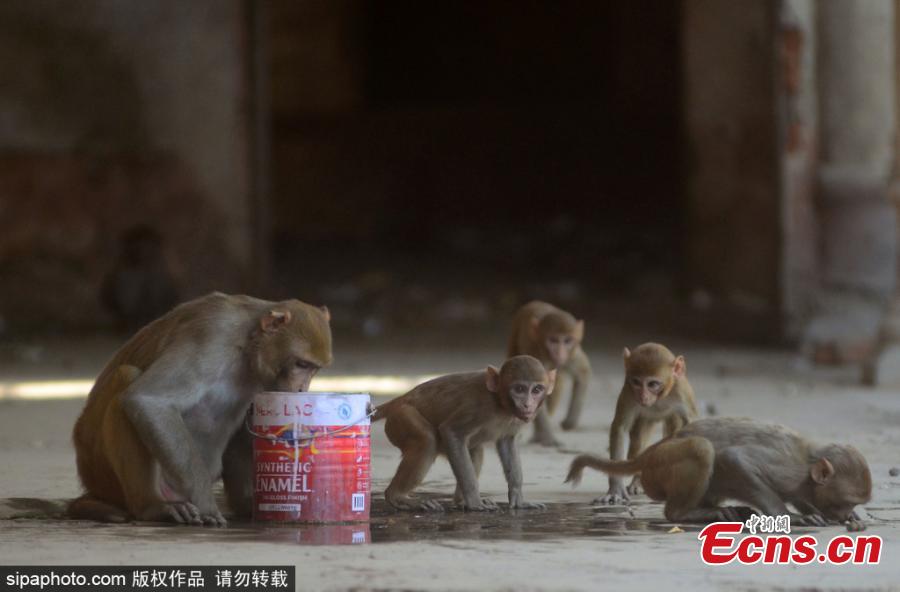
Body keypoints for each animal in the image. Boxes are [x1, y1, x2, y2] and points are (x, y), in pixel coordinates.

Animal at [69, 292, 332, 526]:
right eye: (301, 364)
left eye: (314, 368)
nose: (302, 389)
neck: (249, 342)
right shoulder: (214, 336)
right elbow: (149, 400)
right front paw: (206, 504)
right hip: (104, 473)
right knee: (126, 378)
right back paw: (152, 507)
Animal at [373, 355, 555, 512]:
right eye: (519, 389)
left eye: (537, 389)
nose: (527, 404)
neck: (500, 402)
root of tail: (402, 398)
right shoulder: (479, 407)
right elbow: (451, 432)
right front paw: (474, 502)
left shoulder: (515, 420)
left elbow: (506, 443)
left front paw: (518, 499)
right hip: (402, 418)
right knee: (427, 440)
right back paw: (397, 496)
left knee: (475, 449)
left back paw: (460, 501)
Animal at [507, 301, 591, 447]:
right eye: (553, 340)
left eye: (567, 341)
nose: (560, 353)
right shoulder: (534, 352)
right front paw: (547, 438)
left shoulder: (572, 354)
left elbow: (583, 372)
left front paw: (570, 422)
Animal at [566, 417, 872, 526]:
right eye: (845, 501)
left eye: (853, 503)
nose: (845, 513)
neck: (809, 468)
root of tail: (651, 451)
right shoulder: (788, 470)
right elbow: (734, 459)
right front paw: (791, 517)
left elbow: (803, 499)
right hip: (663, 465)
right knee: (702, 449)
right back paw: (685, 514)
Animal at [596, 343, 698, 504]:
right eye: (636, 382)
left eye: (652, 384)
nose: (643, 396)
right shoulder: (629, 391)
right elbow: (620, 428)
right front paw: (615, 489)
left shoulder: (682, 392)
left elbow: (691, 425)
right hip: (644, 420)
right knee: (636, 446)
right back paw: (638, 482)